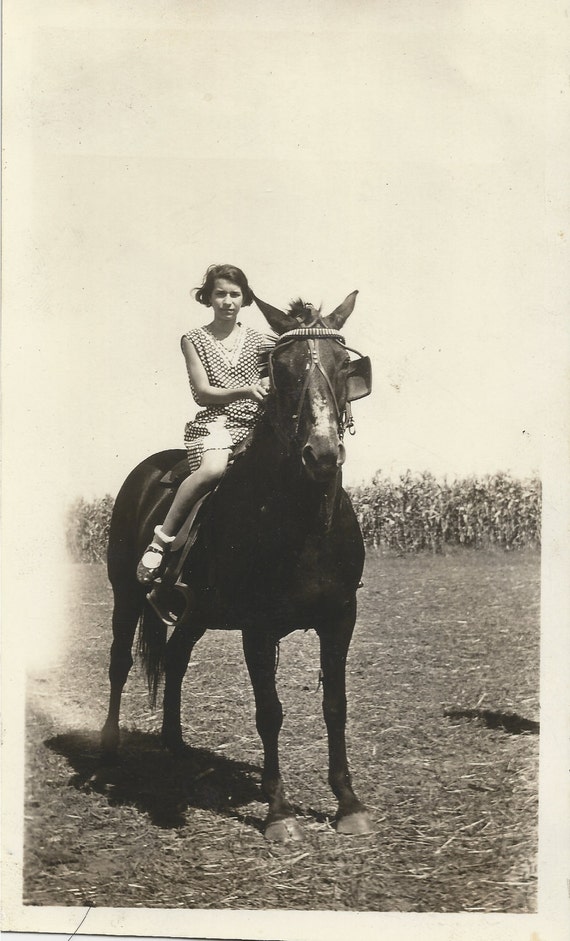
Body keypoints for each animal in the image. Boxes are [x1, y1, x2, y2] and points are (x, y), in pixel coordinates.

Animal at [100, 290, 370, 840]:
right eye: (280, 370)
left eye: (343, 363)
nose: (321, 453)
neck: (302, 523)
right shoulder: (258, 627)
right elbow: (270, 711)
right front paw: (280, 812)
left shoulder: (340, 617)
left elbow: (335, 706)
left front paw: (348, 803)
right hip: (125, 594)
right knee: (119, 663)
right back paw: (110, 747)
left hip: (195, 614)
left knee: (176, 658)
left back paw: (175, 742)